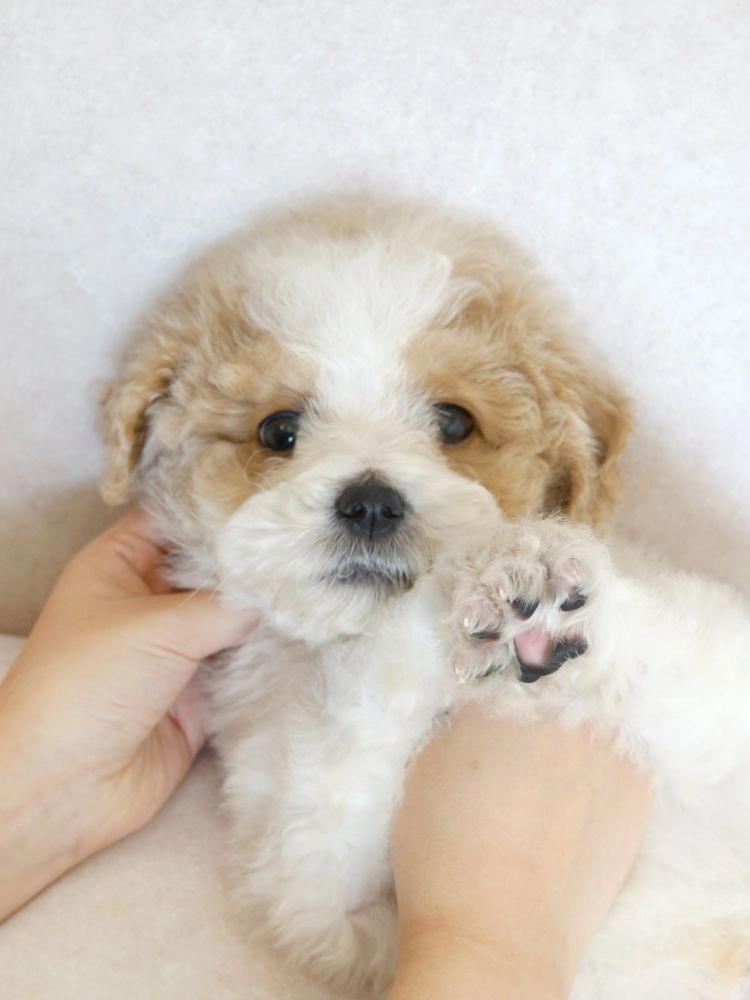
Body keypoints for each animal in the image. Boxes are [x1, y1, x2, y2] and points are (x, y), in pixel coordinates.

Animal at [100, 198, 750, 999]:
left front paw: (534, 575)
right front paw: (489, 605)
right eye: (278, 430)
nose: (371, 503)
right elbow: (355, 732)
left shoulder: (703, 674)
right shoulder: (319, 884)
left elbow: (651, 641)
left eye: (454, 422)